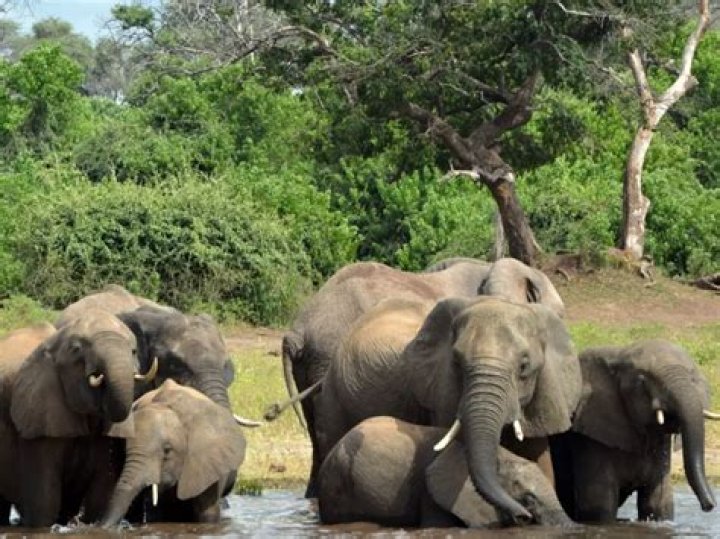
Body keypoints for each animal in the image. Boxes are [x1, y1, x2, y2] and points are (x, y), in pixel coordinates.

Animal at [551, 339, 718, 523]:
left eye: (693, 378)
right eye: (642, 381)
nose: (709, 506)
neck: (620, 353)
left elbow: (658, 504)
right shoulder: (589, 437)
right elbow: (599, 506)